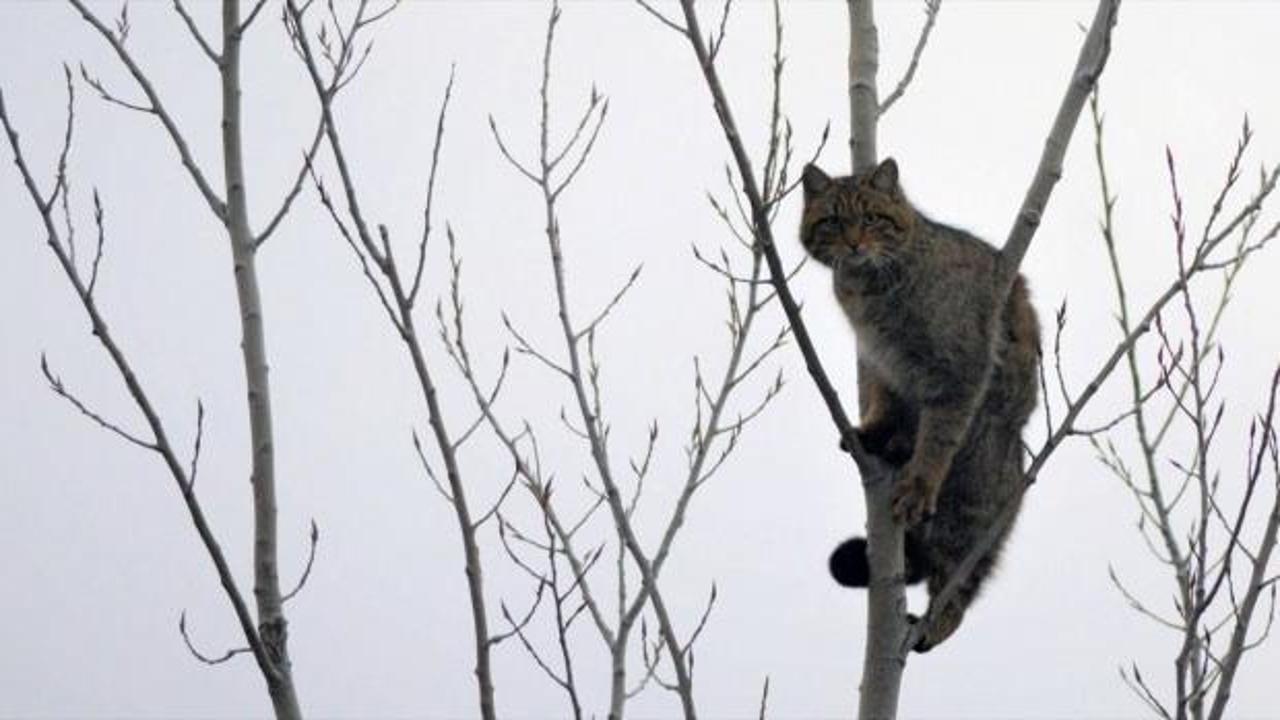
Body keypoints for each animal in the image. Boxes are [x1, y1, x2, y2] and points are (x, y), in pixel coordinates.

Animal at [798, 158, 1039, 650]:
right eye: (832, 221)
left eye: (872, 218)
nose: (855, 243)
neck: (869, 291)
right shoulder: (882, 362)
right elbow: (884, 403)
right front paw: (875, 433)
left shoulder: (959, 371)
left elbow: (937, 440)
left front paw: (918, 483)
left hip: (967, 509)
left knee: (958, 585)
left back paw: (935, 624)